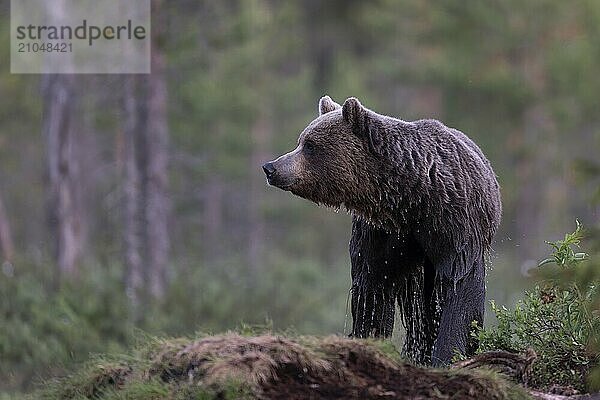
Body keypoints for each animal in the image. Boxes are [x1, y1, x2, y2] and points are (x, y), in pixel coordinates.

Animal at [262, 94, 502, 366]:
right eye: (300, 141)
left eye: (310, 145)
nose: (271, 167)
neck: (410, 199)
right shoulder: (382, 231)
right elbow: (372, 287)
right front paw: (369, 339)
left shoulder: (453, 222)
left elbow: (460, 286)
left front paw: (447, 353)